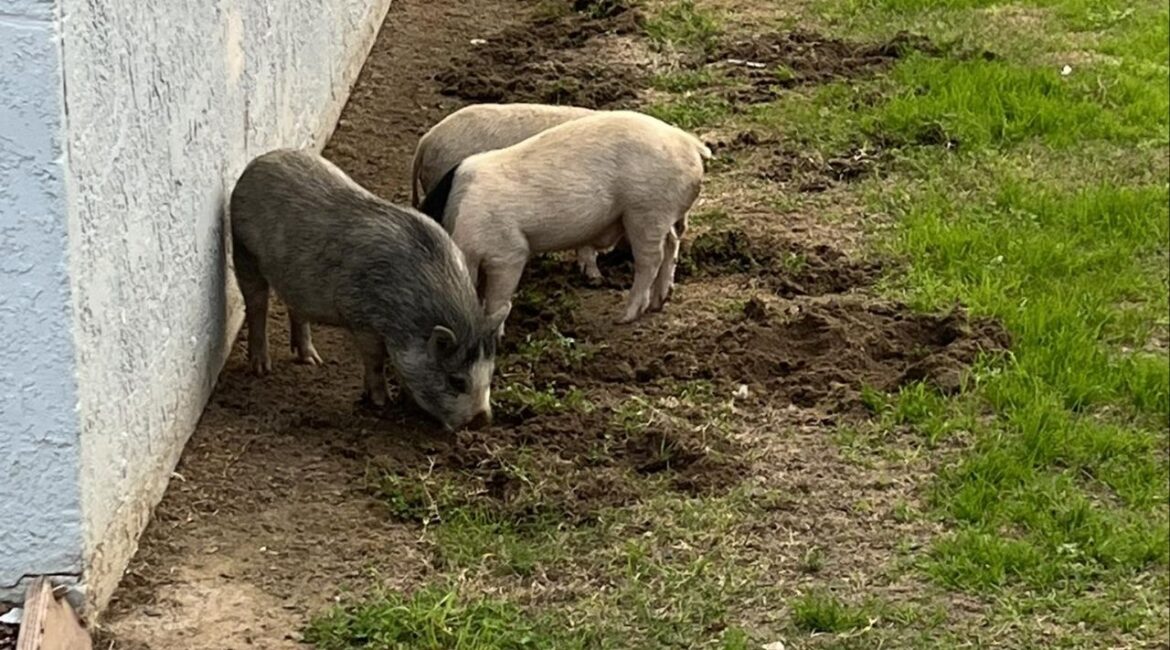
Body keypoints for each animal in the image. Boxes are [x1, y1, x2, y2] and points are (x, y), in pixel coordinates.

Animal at [230, 148, 509, 431]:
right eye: (456, 381)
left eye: (490, 374)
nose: (483, 419)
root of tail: (259, 161)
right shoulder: (361, 318)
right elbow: (375, 361)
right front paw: (381, 402)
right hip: (243, 249)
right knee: (256, 305)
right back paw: (262, 368)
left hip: (294, 278)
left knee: (295, 309)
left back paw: (312, 360)